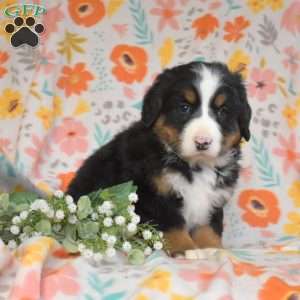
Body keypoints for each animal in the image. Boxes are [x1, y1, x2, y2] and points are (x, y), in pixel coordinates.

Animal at [67, 61, 251, 255]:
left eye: (223, 111)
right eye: (184, 108)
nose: (203, 141)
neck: (195, 166)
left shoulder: (214, 198)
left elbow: (209, 227)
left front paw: (213, 249)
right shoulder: (152, 195)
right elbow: (171, 224)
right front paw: (186, 249)